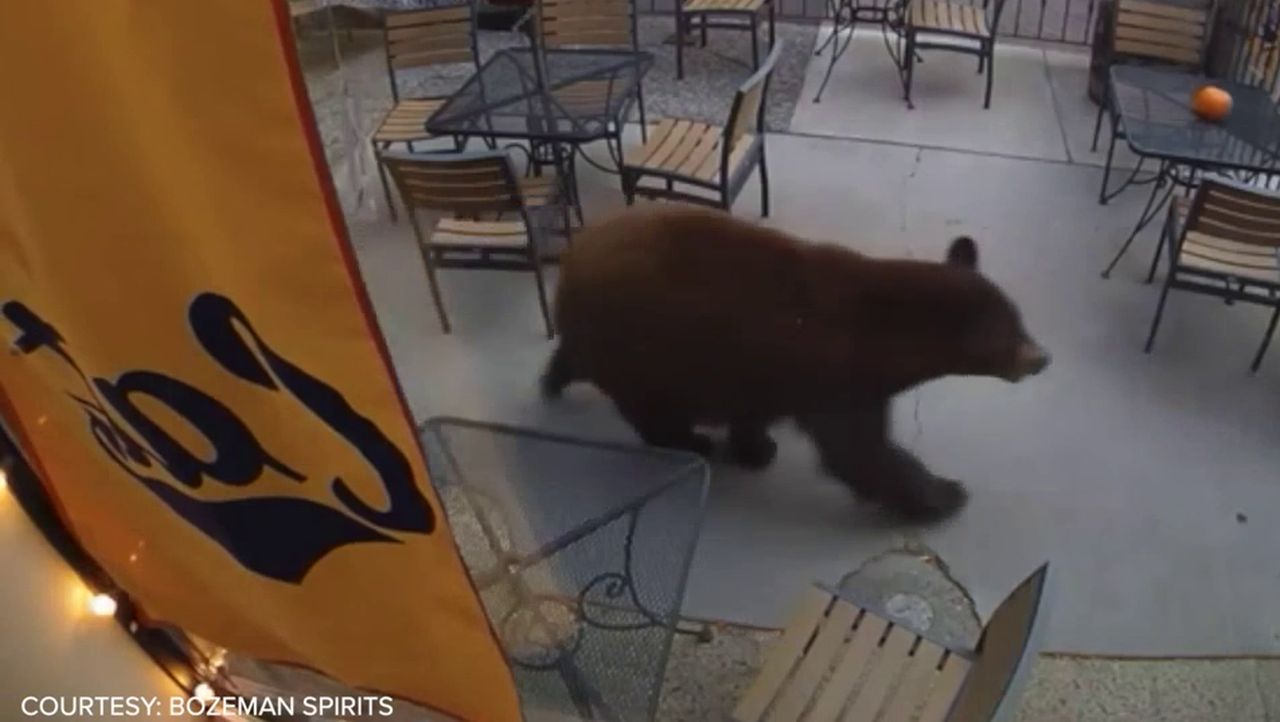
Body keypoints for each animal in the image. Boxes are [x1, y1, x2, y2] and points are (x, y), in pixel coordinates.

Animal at [541, 205, 1049, 521]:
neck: (883, 333)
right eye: (1012, 333)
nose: (1042, 358)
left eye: (1021, 320)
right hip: (639, 347)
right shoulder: (835, 371)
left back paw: (553, 379)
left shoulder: (769, 366)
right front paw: (944, 493)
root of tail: (569, 263)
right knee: (653, 410)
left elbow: (756, 410)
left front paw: (757, 448)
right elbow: (860, 449)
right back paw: (691, 441)